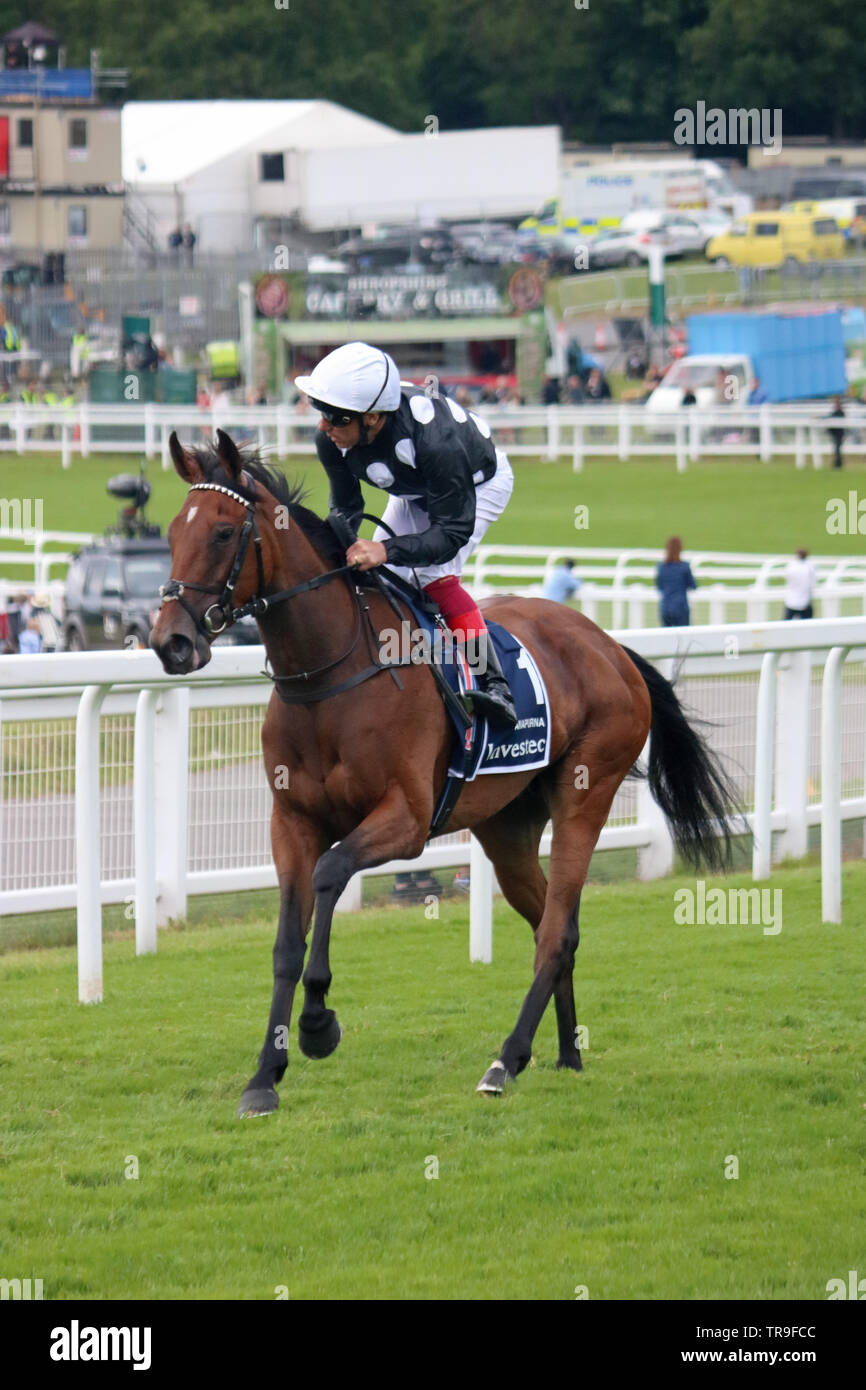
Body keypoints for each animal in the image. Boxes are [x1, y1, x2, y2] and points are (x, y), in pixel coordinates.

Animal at [150, 433, 739, 1117]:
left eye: (223, 533)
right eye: (173, 531)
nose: (171, 642)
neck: (332, 677)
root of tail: (611, 646)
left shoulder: (404, 820)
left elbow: (329, 876)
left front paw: (319, 1024)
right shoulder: (291, 821)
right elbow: (286, 944)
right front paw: (264, 1077)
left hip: (587, 789)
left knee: (556, 931)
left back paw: (505, 1060)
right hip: (507, 825)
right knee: (550, 922)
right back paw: (565, 1053)